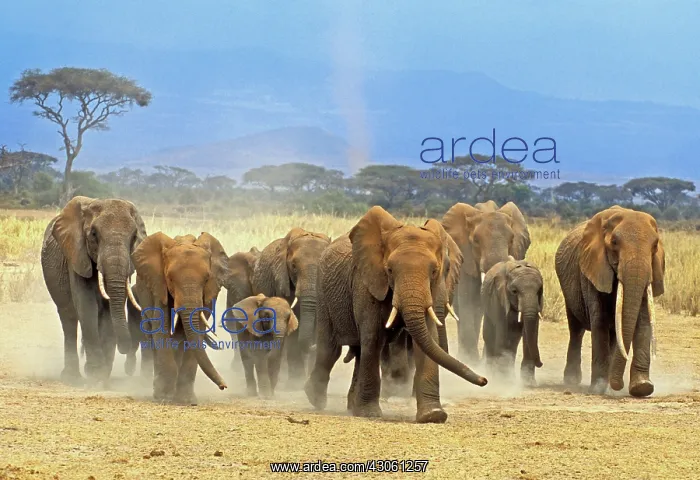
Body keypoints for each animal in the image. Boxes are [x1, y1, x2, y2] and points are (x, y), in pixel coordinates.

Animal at [41, 196, 146, 385]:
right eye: (94, 234)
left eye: (134, 237)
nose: (125, 348)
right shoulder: (77, 254)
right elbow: (86, 303)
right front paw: (95, 373)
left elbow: (109, 307)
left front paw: (102, 375)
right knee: (68, 317)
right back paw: (71, 377)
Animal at [131, 231, 229, 403]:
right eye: (170, 278)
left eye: (206, 278)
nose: (224, 386)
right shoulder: (159, 285)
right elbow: (161, 327)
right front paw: (164, 398)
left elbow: (195, 330)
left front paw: (187, 401)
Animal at [305, 206, 487, 424]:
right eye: (389, 270)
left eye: (435, 271)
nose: (484, 379)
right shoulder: (367, 282)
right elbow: (373, 338)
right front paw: (370, 414)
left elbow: (426, 339)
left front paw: (433, 415)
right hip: (323, 293)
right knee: (330, 349)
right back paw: (315, 399)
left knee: (357, 352)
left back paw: (350, 406)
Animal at [480, 257, 544, 386]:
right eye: (514, 291)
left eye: (539, 291)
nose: (541, 363)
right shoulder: (498, 298)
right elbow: (504, 331)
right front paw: (503, 381)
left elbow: (531, 331)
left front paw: (529, 383)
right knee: (489, 335)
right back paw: (492, 375)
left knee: (514, 339)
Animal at [555, 206, 665, 397]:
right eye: (614, 242)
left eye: (655, 246)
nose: (618, 385)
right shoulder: (593, 268)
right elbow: (599, 322)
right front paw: (598, 389)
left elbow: (643, 322)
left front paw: (642, 388)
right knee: (576, 330)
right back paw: (573, 381)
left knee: (614, 336)